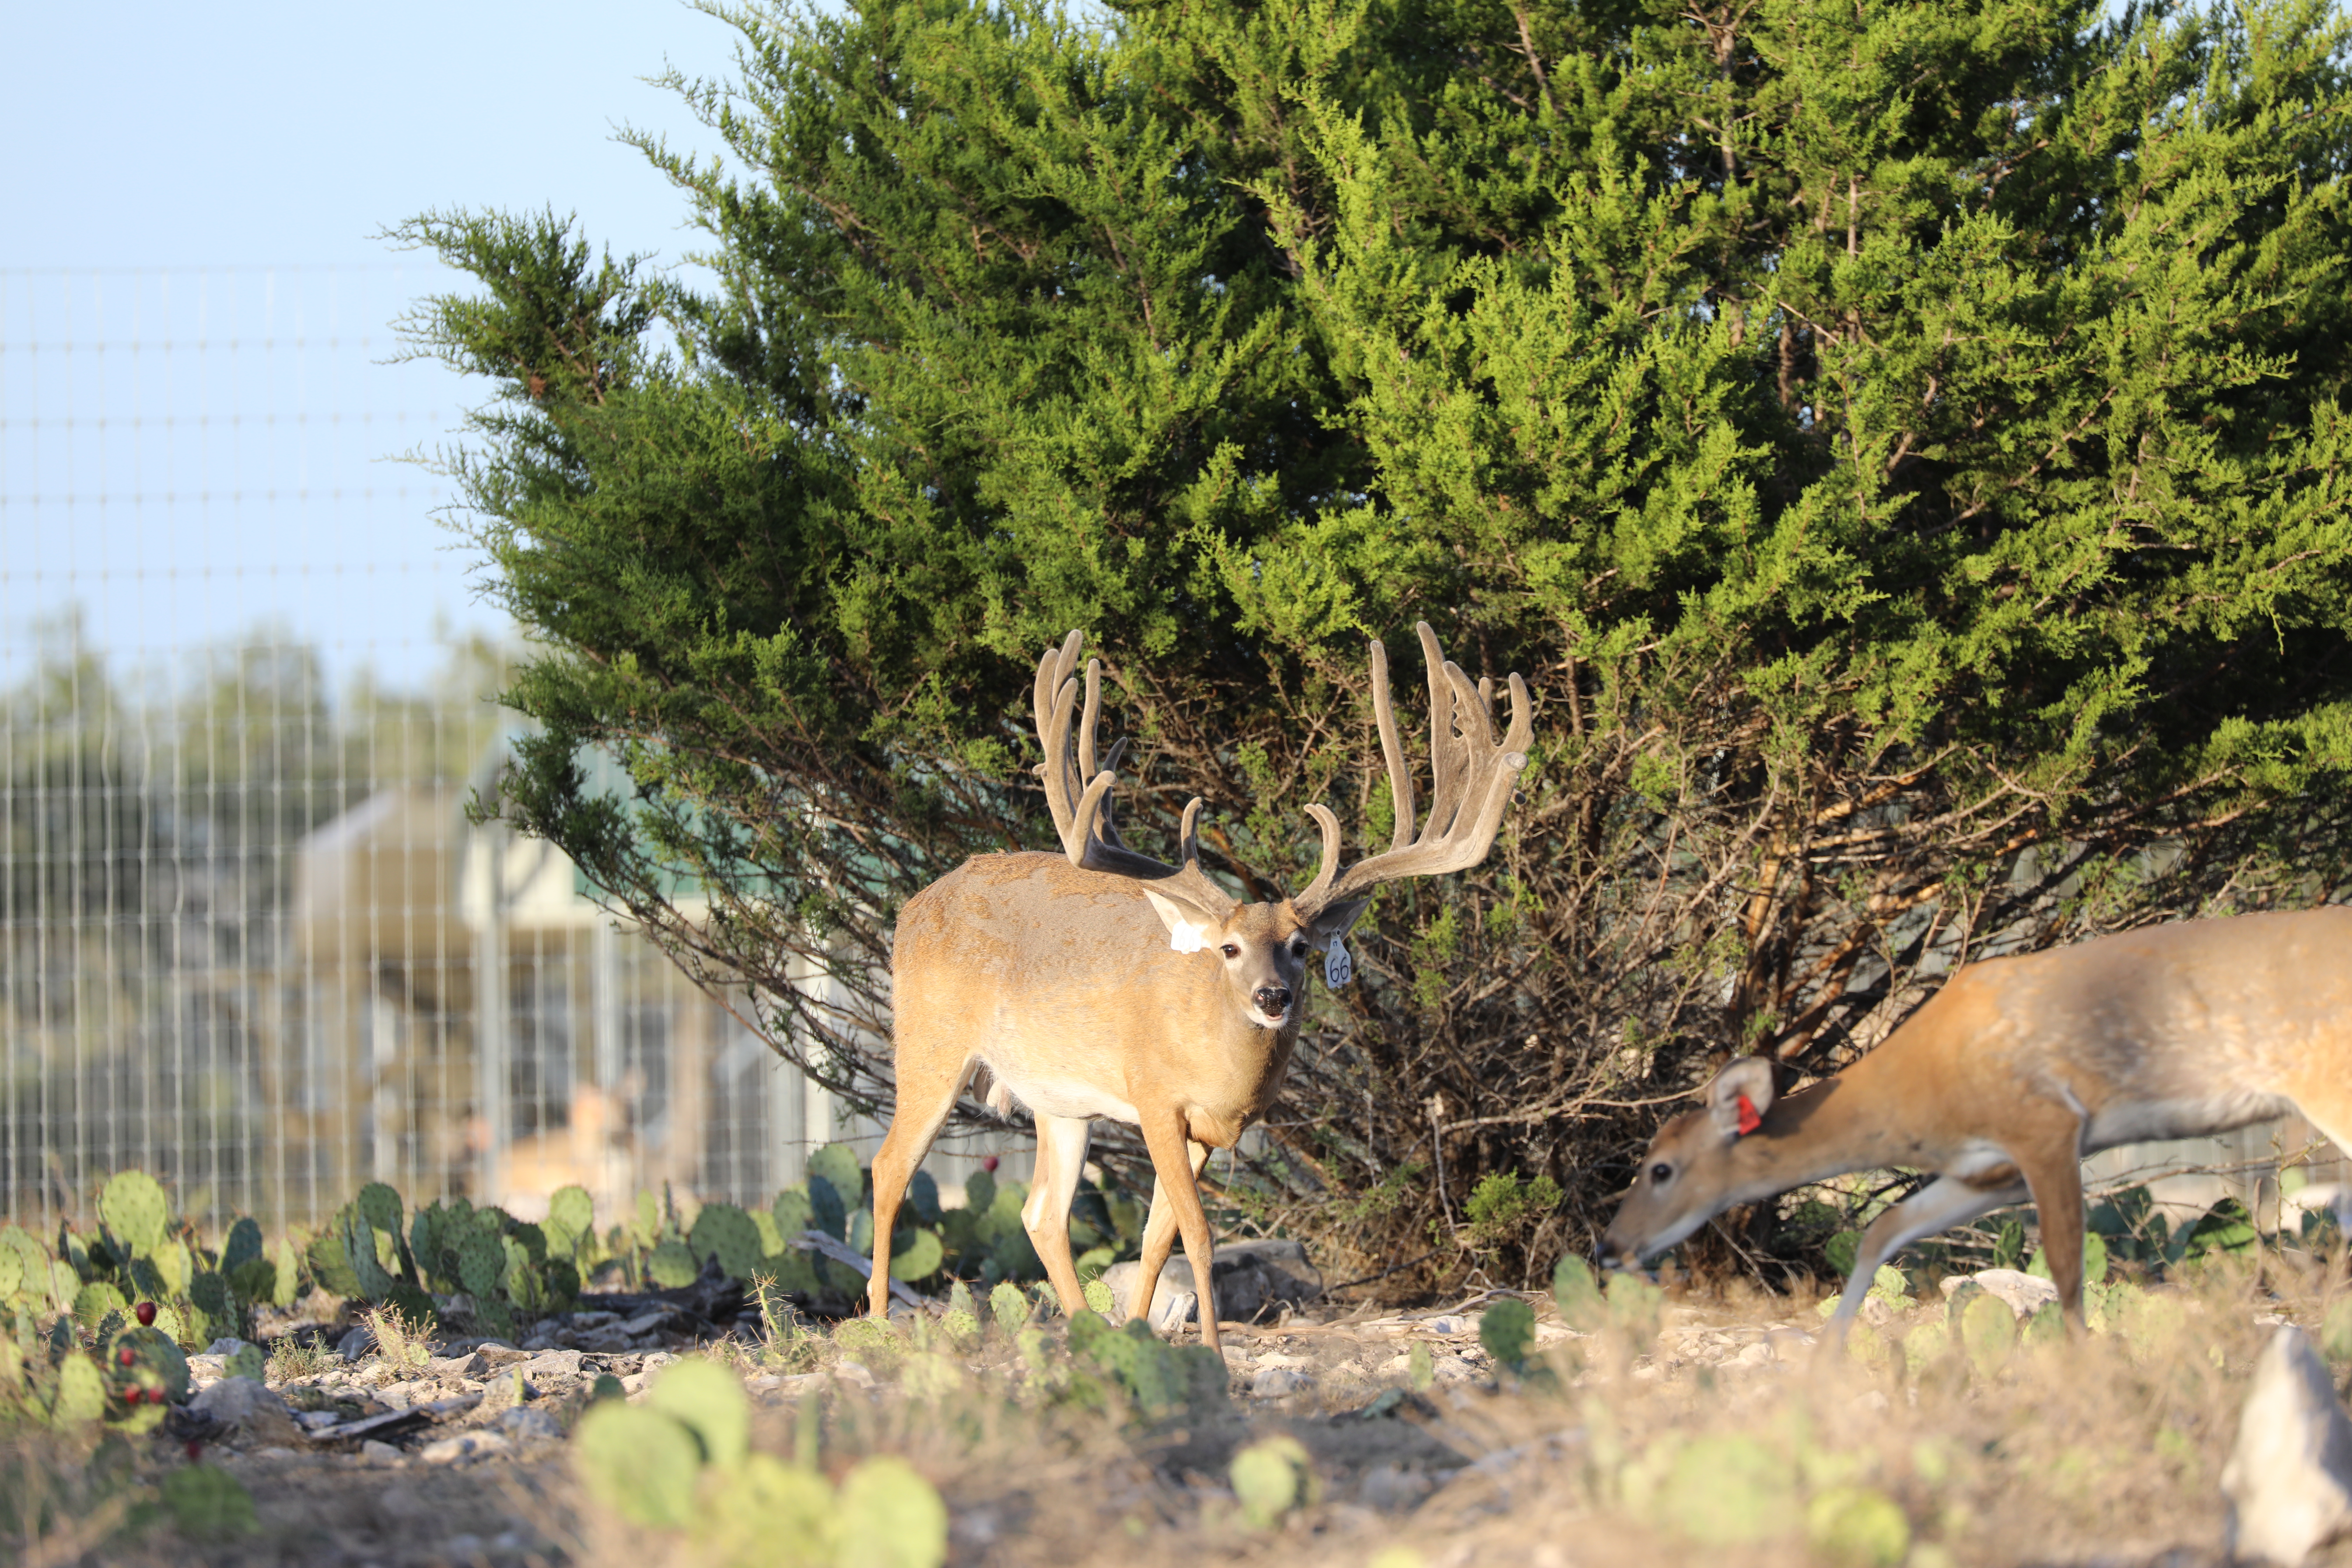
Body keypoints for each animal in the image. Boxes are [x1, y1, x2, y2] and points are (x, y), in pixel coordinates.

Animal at [861, 625, 1524, 1354]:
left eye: (1302, 948)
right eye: (1229, 949)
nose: (1272, 998)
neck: (1218, 1060)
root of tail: (911, 908)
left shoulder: (1206, 1131)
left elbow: (1159, 1241)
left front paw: (1142, 1335)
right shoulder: (1154, 1097)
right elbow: (1201, 1238)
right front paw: (1210, 1349)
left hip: (1060, 1101)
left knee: (1041, 1213)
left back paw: (1086, 1331)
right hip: (930, 1045)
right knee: (889, 1169)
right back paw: (877, 1325)